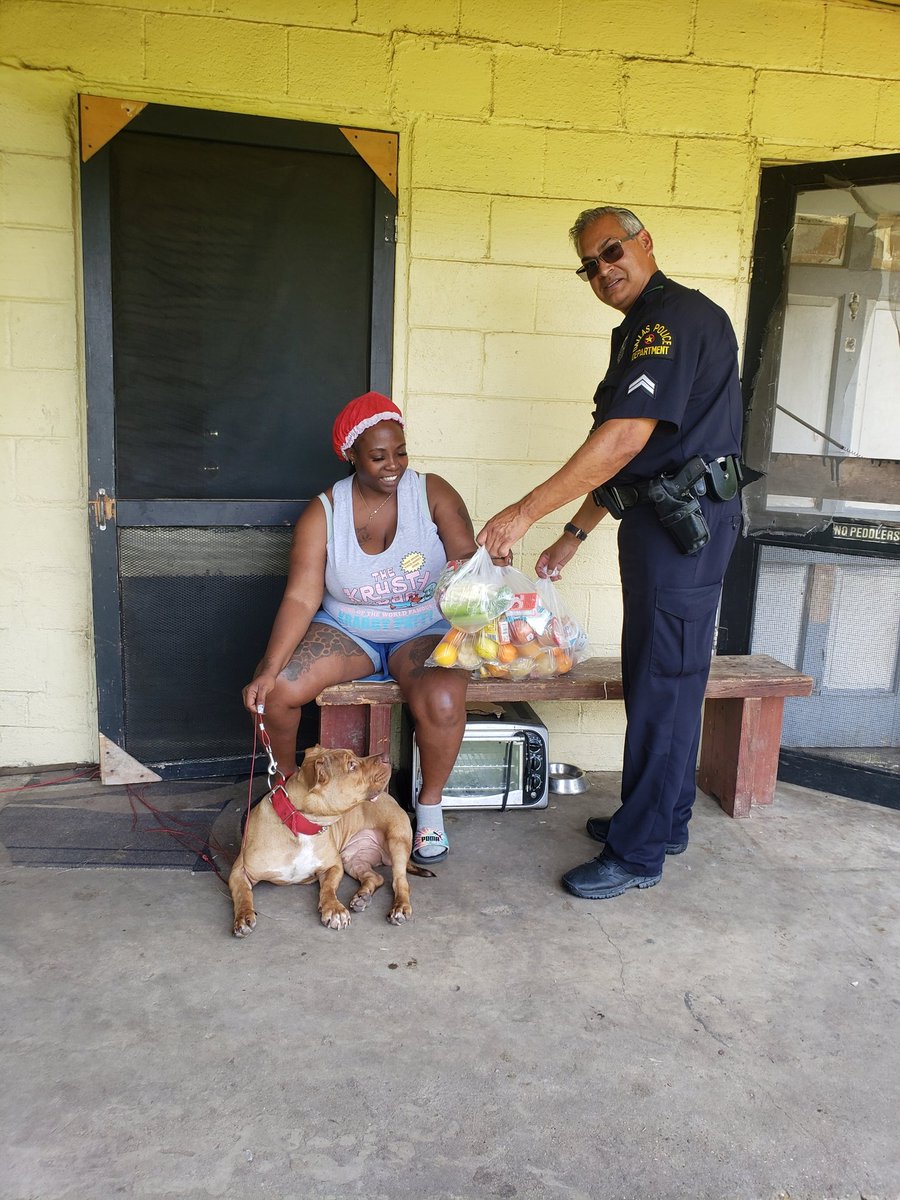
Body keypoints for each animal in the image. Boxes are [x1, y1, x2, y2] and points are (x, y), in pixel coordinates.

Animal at [226, 739, 434, 936]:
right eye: (351, 765)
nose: (386, 756)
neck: (300, 824)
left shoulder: (333, 866)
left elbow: (328, 888)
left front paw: (334, 909)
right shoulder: (240, 871)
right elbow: (243, 893)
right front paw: (243, 916)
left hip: (397, 840)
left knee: (400, 880)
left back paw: (399, 907)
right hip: (353, 859)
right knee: (376, 877)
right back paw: (363, 895)